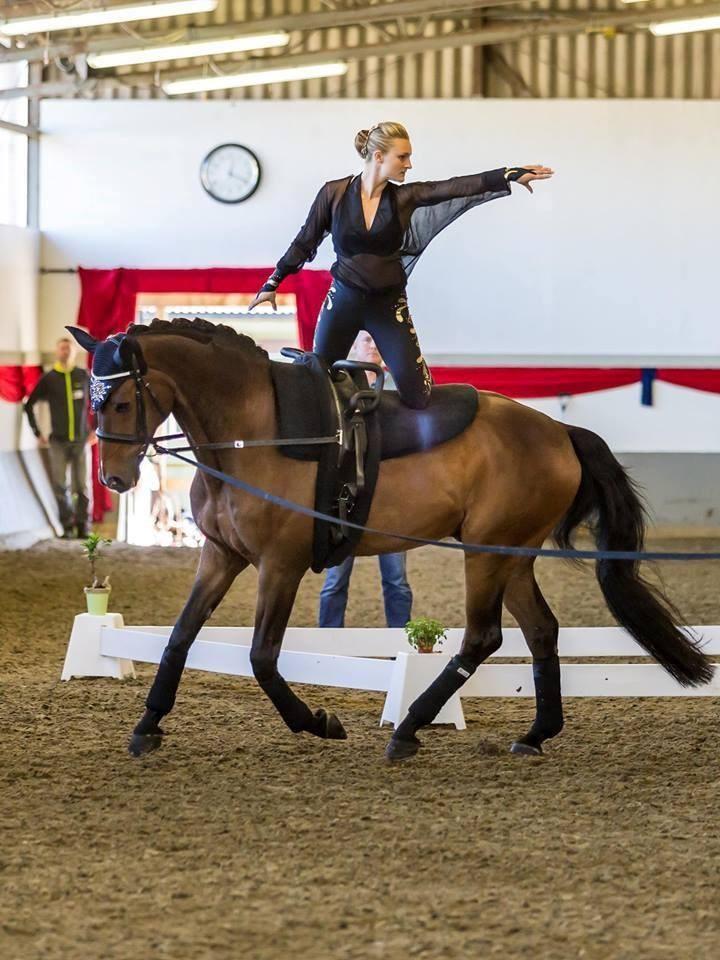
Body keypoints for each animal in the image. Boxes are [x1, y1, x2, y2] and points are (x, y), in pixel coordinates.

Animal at [69, 318, 716, 760]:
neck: (255, 432)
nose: (114, 480)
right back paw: (535, 734)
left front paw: (318, 721)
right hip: (511, 555)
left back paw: (408, 729)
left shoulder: (279, 564)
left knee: (483, 637)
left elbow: (261, 656)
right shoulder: (221, 556)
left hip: (486, 553)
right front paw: (147, 725)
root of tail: (559, 430)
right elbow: (179, 636)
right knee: (540, 632)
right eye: (91, 398)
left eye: (120, 400)